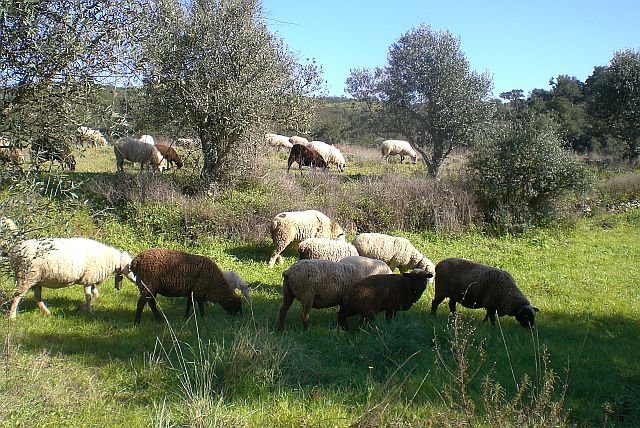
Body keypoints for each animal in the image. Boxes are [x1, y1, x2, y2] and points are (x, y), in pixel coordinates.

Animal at [3, 231, 135, 318]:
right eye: (132, 267)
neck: (111, 260)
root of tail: (15, 250)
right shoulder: (88, 278)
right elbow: (89, 296)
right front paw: (89, 311)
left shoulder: (91, 279)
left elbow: (95, 294)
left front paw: (82, 308)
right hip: (25, 277)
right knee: (17, 296)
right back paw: (12, 316)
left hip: (36, 279)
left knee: (37, 297)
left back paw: (47, 313)